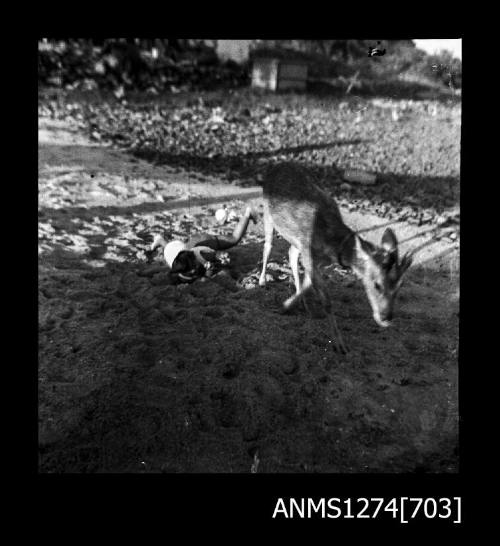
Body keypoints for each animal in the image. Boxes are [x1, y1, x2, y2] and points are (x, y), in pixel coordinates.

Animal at [260, 162, 412, 352]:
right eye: (377, 284)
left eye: (400, 285)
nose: (386, 317)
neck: (331, 243)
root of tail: (275, 167)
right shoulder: (309, 255)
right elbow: (327, 300)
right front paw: (339, 345)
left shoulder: (318, 261)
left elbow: (308, 285)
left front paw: (289, 305)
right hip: (267, 213)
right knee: (268, 246)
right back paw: (262, 281)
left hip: (294, 240)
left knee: (291, 253)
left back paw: (303, 304)